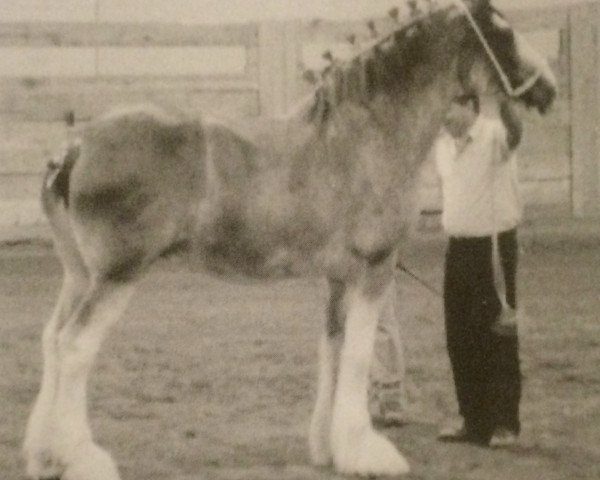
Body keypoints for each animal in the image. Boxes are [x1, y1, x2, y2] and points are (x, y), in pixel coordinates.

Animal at [22, 1, 556, 478]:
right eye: (504, 33)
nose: (549, 89)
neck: (367, 134)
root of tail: (76, 145)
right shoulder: (375, 267)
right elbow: (358, 356)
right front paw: (368, 453)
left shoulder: (337, 278)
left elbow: (333, 351)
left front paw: (329, 447)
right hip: (116, 276)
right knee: (74, 347)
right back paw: (83, 460)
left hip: (80, 276)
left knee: (51, 340)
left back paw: (44, 456)